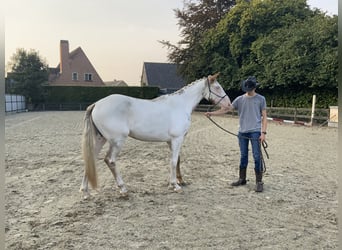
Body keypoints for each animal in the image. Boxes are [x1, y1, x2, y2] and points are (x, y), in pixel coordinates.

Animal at [80, 73, 230, 198]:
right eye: (217, 87)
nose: (228, 104)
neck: (180, 105)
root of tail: (96, 104)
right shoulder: (177, 139)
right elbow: (173, 161)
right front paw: (175, 185)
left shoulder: (172, 141)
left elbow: (177, 160)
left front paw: (178, 181)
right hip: (117, 141)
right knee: (110, 161)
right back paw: (123, 189)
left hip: (101, 139)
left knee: (91, 159)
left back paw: (85, 191)